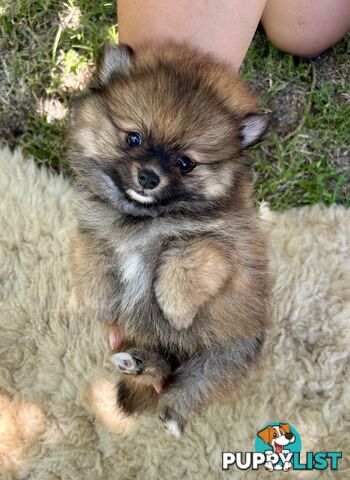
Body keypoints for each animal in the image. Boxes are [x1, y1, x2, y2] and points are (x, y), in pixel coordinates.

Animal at [69, 42, 270, 438]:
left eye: (185, 162)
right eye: (134, 138)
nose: (149, 177)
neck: (143, 219)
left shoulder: (228, 248)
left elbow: (186, 253)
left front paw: (176, 310)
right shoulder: (92, 228)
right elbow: (93, 255)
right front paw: (101, 303)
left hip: (227, 353)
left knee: (197, 383)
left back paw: (173, 416)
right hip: (149, 340)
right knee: (159, 369)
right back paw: (136, 363)